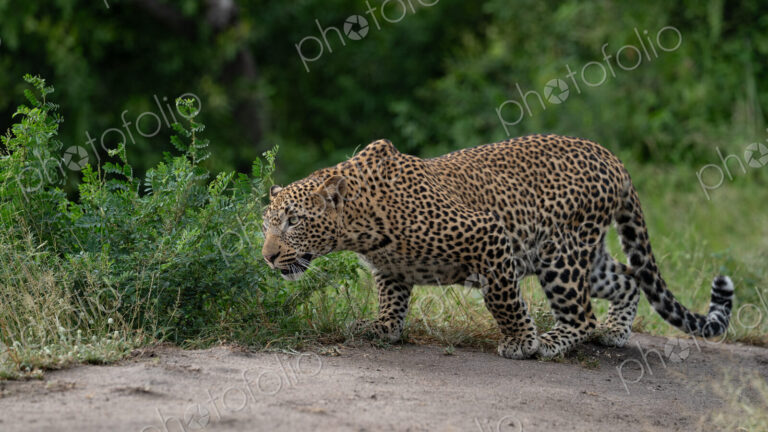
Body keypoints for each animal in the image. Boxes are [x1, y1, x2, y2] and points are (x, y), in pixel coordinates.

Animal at [261, 134, 734, 359]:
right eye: (266, 224)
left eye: (293, 221)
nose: (267, 256)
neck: (360, 221)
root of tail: (613, 159)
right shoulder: (391, 267)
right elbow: (391, 300)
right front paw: (382, 329)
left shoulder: (488, 234)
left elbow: (503, 299)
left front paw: (521, 342)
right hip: (585, 255)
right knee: (629, 277)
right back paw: (616, 332)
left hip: (558, 254)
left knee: (581, 314)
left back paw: (552, 342)